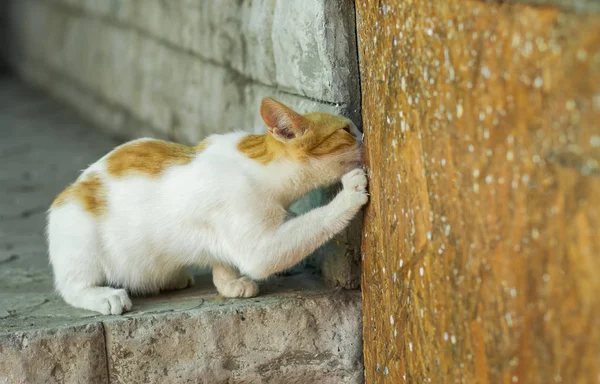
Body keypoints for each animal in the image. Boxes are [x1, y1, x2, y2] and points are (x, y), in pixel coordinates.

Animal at [47, 98, 366, 316]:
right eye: (347, 130)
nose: (363, 133)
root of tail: (65, 193)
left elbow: (221, 258)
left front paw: (229, 283)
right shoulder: (257, 245)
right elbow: (310, 225)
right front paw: (350, 193)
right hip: (81, 239)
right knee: (71, 287)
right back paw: (103, 296)